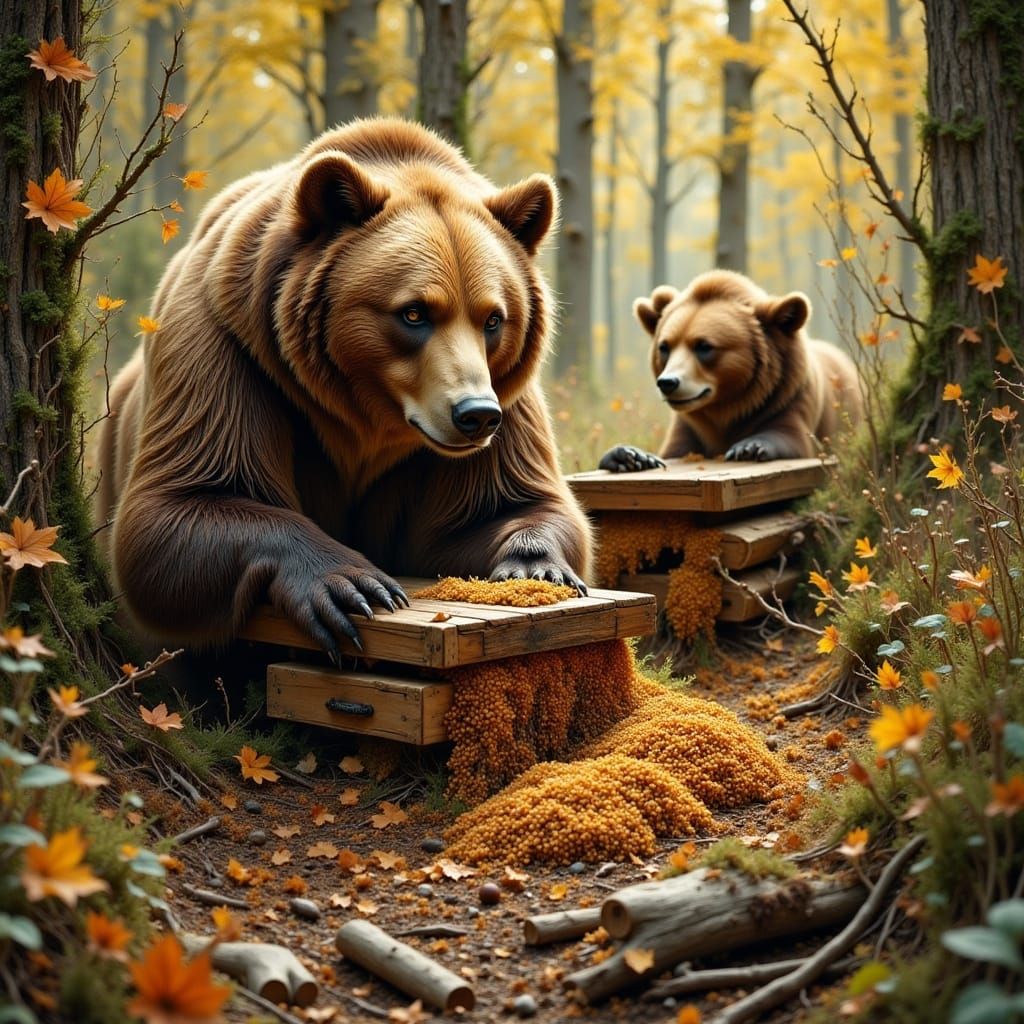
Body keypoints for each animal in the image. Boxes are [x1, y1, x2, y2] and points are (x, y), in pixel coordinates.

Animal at [95, 118, 591, 658]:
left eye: (493, 319)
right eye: (414, 312)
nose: (475, 414)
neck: (364, 418)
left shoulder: (507, 399)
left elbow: (501, 506)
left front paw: (537, 566)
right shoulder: (233, 351)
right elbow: (179, 510)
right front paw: (353, 585)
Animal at [599, 269, 863, 470]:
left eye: (704, 346)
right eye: (664, 347)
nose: (668, 382)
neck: (729, 406)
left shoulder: (790, 397)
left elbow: (793, 438)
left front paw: (748, 447)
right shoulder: (689, 427)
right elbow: (671, 451)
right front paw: (630, 455)